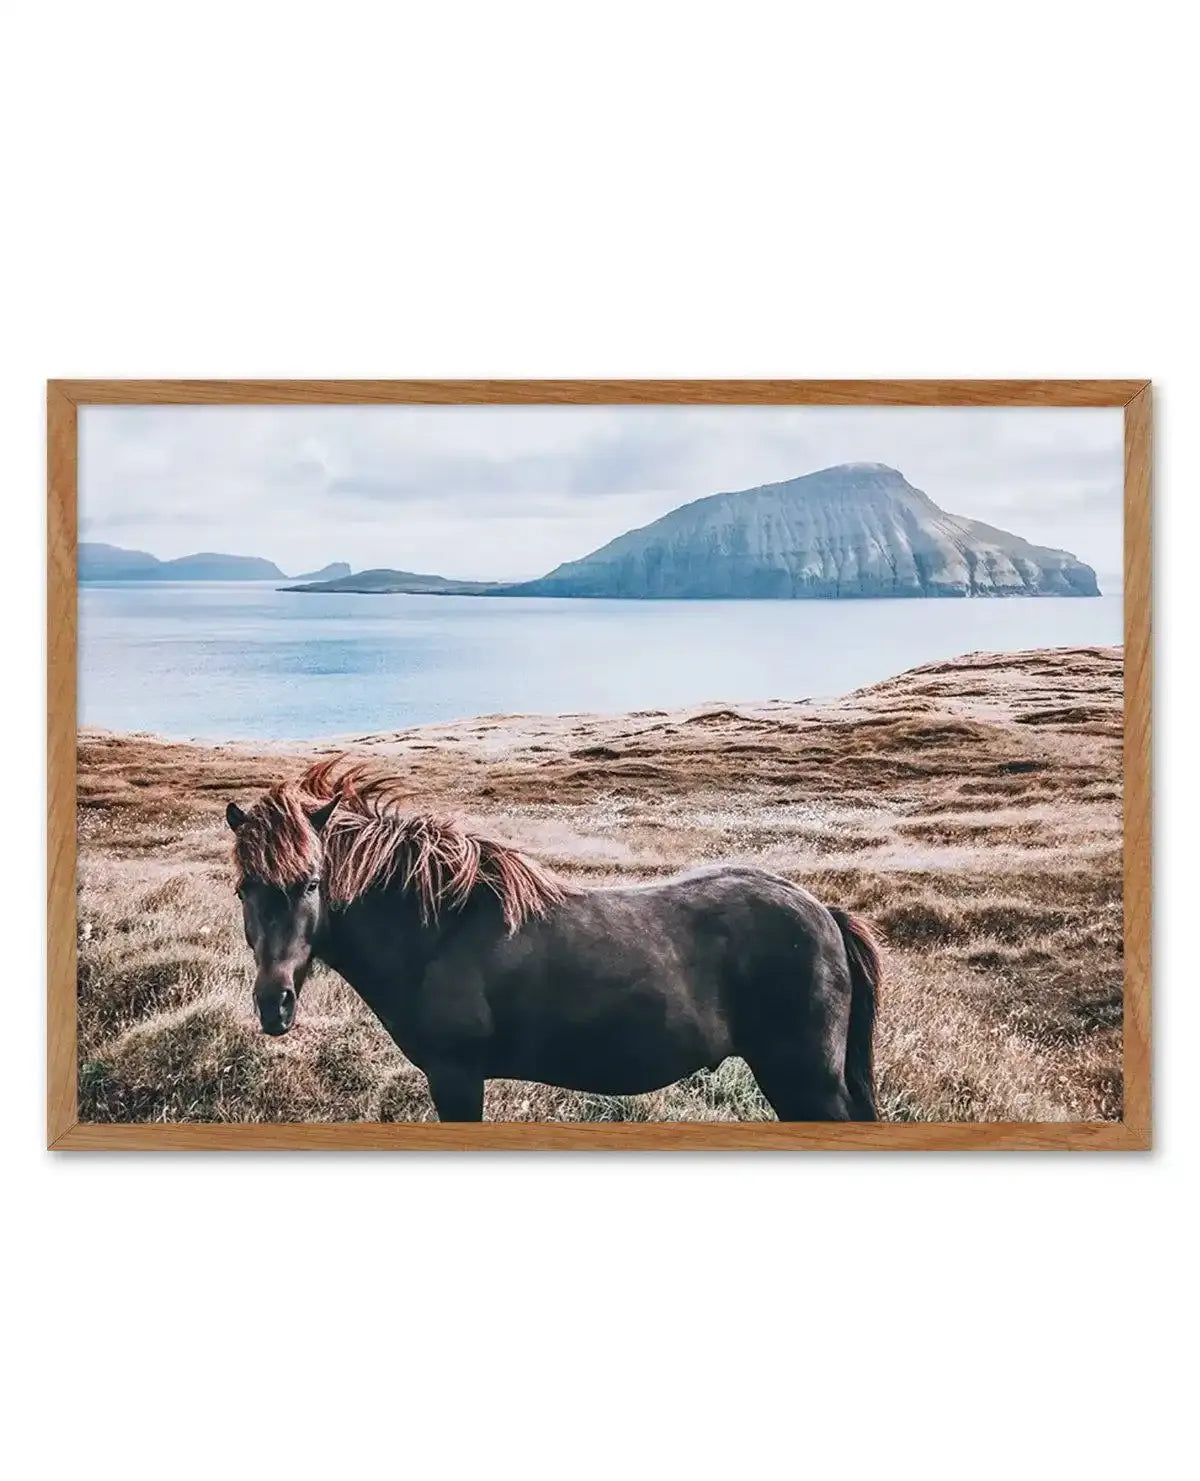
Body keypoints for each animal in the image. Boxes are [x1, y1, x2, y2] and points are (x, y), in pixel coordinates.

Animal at [226, 759, 882, 1122]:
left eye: (312, 883)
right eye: (243, 890)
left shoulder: (455, 1076)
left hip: (804, 1079)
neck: (438, 932)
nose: (274, 1005)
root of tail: (825, 913)